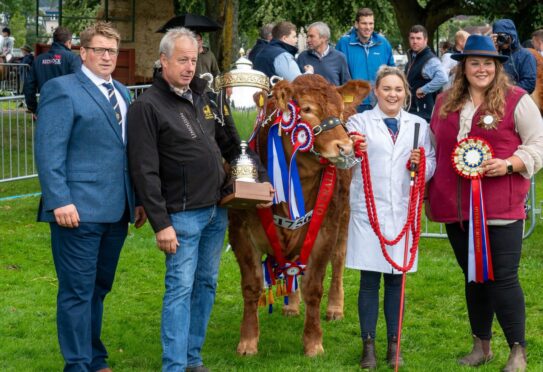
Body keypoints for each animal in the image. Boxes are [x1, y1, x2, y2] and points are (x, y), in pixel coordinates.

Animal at [230, 74, 370, 356]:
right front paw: (248, 341)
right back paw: (291, 306)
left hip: (345, 215)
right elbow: (251, 286)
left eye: (339, 110)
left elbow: (314, 287)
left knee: (339, 260)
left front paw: (313, 343)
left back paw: (335, 308)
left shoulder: (325, 231)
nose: (345, 147)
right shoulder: (239, 231)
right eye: (306, 109)